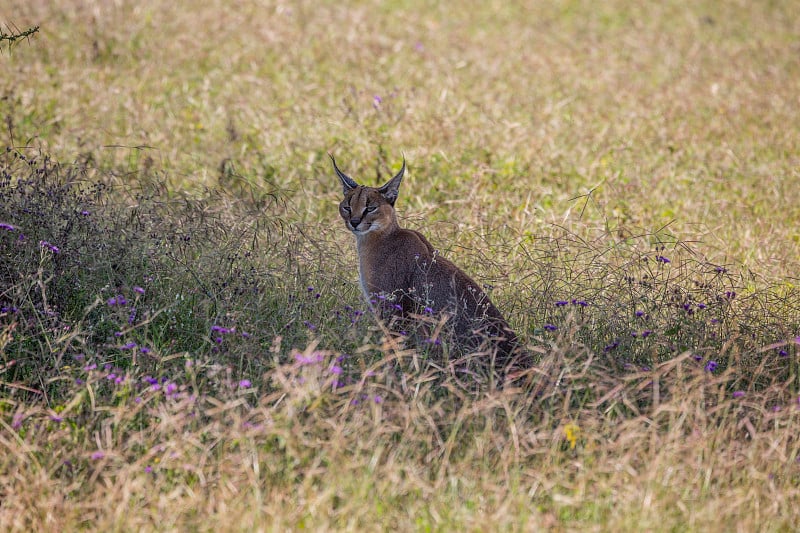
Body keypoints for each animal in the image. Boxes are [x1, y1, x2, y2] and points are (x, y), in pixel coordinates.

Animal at [332, 156, 524, 368]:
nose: (354, 221)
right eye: (347, 207)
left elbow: (392, 347)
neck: (380, 237)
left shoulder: (392, 307)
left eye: (370, 208)